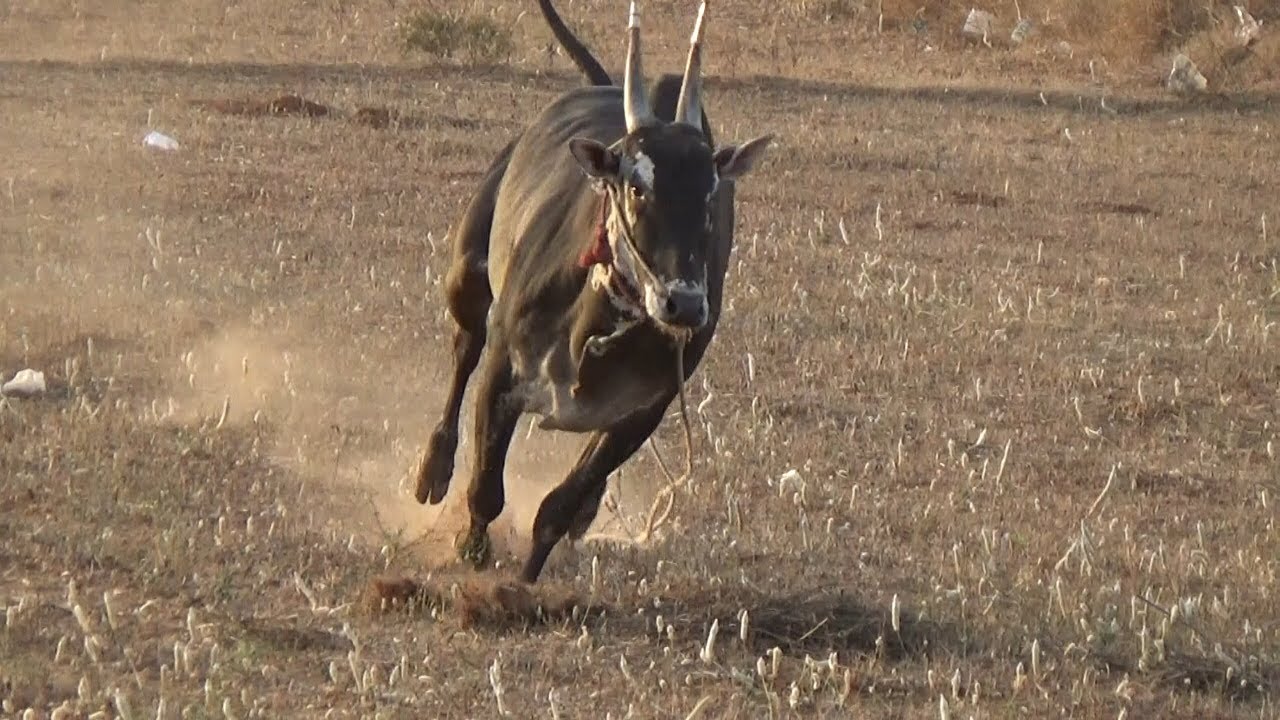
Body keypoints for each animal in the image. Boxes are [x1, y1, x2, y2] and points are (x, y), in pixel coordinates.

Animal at [413, 0, 774, 584]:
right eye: (635, 183)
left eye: (712, 192)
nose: (684, 304)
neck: (595, 330)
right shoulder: (503, 373)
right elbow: (485, 488)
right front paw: (472, 554)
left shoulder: (640, 415)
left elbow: (557, 508)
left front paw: (524, 582)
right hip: (468, 276)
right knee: (462, 349)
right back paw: (433, 467)